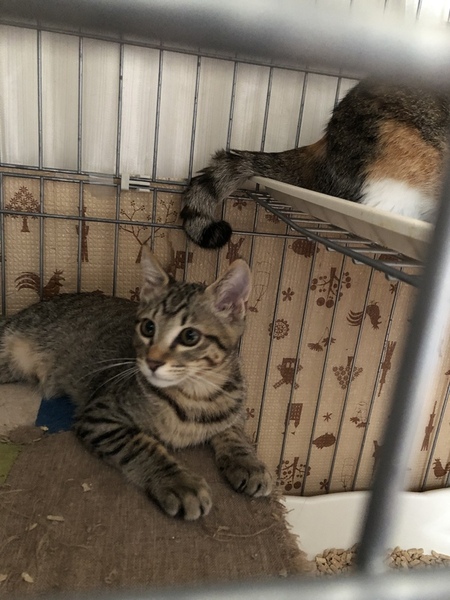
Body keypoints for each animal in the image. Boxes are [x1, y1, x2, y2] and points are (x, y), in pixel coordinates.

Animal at [0, 248, 272, 520]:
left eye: (190, 336)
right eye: (148, 327)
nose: (152, 361)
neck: (195, 395)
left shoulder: (235, 406)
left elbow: (235, 432)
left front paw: (247, 462)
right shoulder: (99, 414)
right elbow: (142, 446)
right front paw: (180, 483)